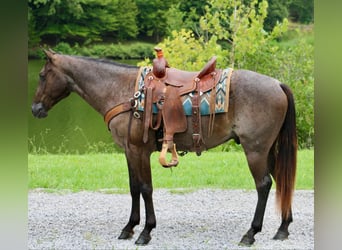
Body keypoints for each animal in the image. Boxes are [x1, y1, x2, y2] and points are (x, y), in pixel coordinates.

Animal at [30, 48, 296, 246]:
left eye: (42, 75)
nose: (35, 109)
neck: (123, 91)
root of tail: (278, 84)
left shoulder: (139, 150)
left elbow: (146, 188)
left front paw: (146, 231)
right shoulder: (128, 151)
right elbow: (133, 187)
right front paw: (129, 227)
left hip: (255, 151)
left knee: (264, 184)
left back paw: (251, 233)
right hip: (268, 151)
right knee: (282, 180)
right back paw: (283, 228)